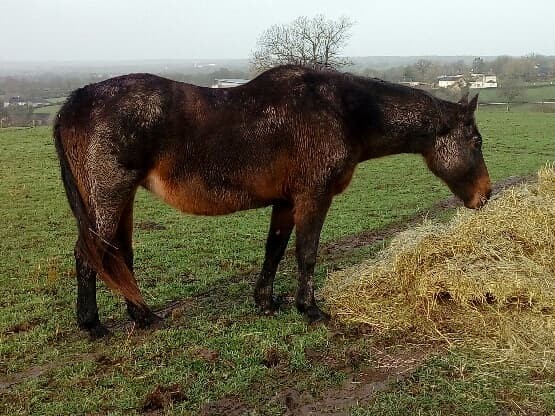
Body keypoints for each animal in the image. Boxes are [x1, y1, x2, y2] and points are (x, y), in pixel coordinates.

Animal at [54, 65, 494, 338]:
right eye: (476, 141)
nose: (486, 194)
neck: (341, 112)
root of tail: (77, 101)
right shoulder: (313, 196)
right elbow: (306, 252)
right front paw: (309, 308)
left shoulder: (285, 202)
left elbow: (275, 249)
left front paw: (266, 302)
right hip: (109, 197)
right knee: (90, 254)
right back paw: (96, 324)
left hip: (120, 199)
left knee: (117, 255)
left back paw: (140, 316)